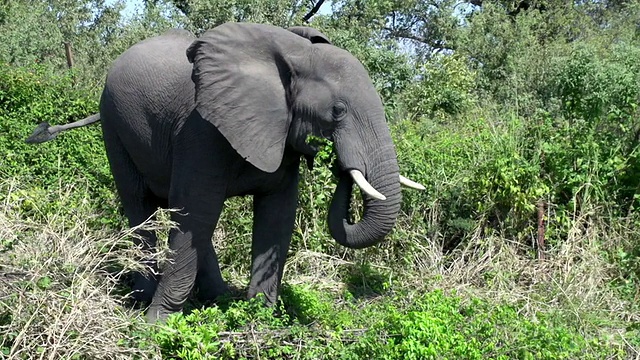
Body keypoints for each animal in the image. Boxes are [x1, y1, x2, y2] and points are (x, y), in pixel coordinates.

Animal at [26, 22, 424, 322]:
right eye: (338, 111)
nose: (341, 165)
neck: (293, 56)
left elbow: (276, 214)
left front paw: (259, 316)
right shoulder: (200, 131)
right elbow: (194, 211)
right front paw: (156, 326)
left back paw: (216, 298)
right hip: (114, 124)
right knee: (142, 206)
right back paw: (143, 296)